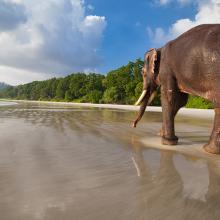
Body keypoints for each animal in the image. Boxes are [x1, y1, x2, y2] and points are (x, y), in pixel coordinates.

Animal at [132, 24, 220, 154]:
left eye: (142, 72)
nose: (133, 125)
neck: (159, 48)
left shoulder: (166, 69)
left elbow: (168, 97)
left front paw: (167, 142)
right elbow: (180, 102)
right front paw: (160, 134)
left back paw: (208, 150)